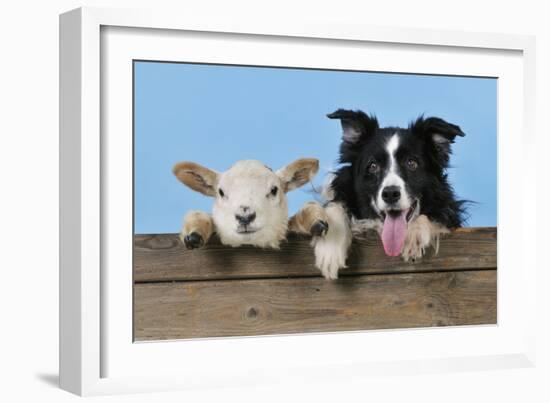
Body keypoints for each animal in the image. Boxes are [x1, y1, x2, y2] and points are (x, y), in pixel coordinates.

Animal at [316, 110, 468, 280]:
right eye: (373, 166)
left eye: (412, 163)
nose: (390, 194)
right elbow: (336, 205)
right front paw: (330, 252)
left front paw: (413, 236)